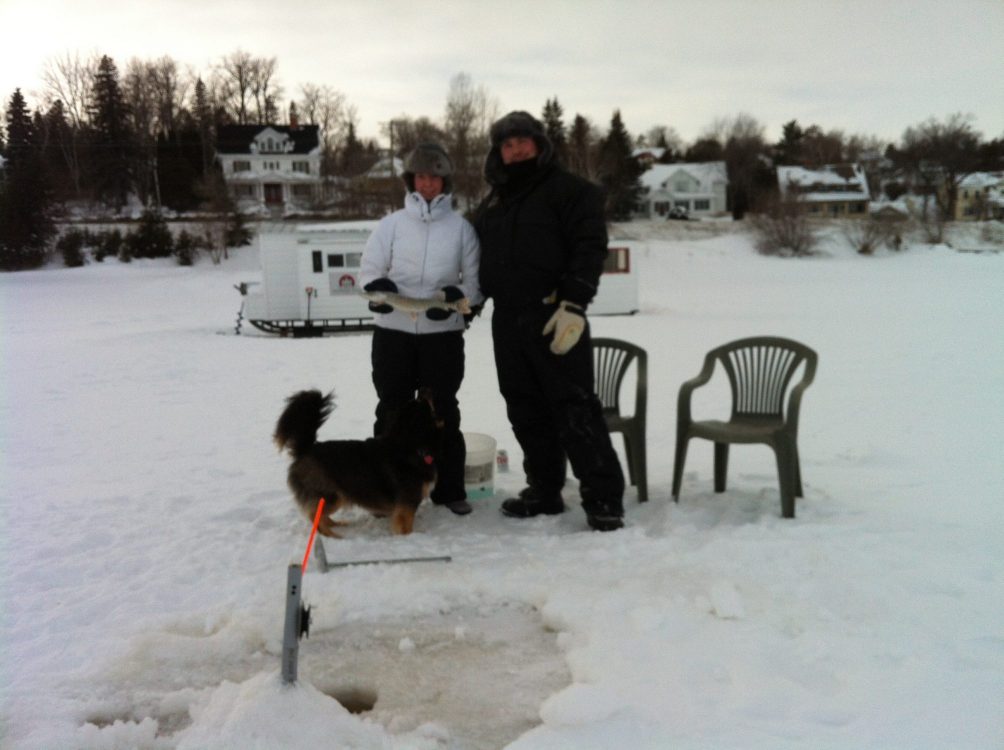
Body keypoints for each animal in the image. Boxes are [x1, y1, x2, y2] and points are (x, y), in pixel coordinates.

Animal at [279, 389, 443, 538]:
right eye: (422, 402)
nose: (426, 389)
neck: (409, 444)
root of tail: (305, 449)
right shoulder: (407, 502)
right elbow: (405, 525)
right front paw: (409, 537)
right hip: (331, 495)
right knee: (314, 515)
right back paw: (332, 535)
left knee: (321, 516)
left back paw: (336, 524)